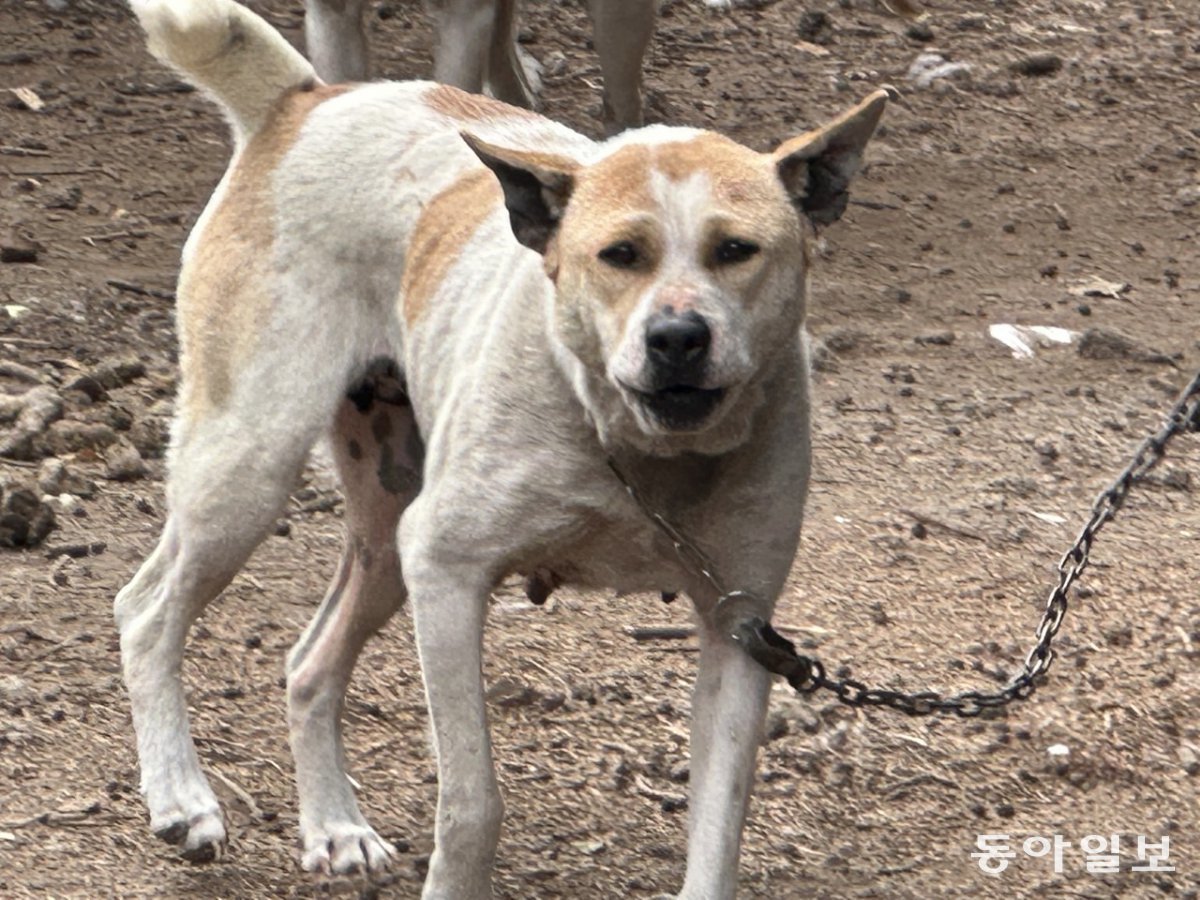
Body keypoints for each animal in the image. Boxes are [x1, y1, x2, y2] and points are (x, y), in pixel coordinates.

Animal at [119, 0, 892, 897]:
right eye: (619, 255)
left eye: (736, 250)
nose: (677, 338)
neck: (635, 453)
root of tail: (302, 100)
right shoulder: (447, 573)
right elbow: (472, 801)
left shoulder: (739, 629)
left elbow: (719, 825)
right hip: (251, 471)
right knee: (147, 612)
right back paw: (181, 796)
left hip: (386, 528)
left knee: (309, 666)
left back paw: (336, 826)